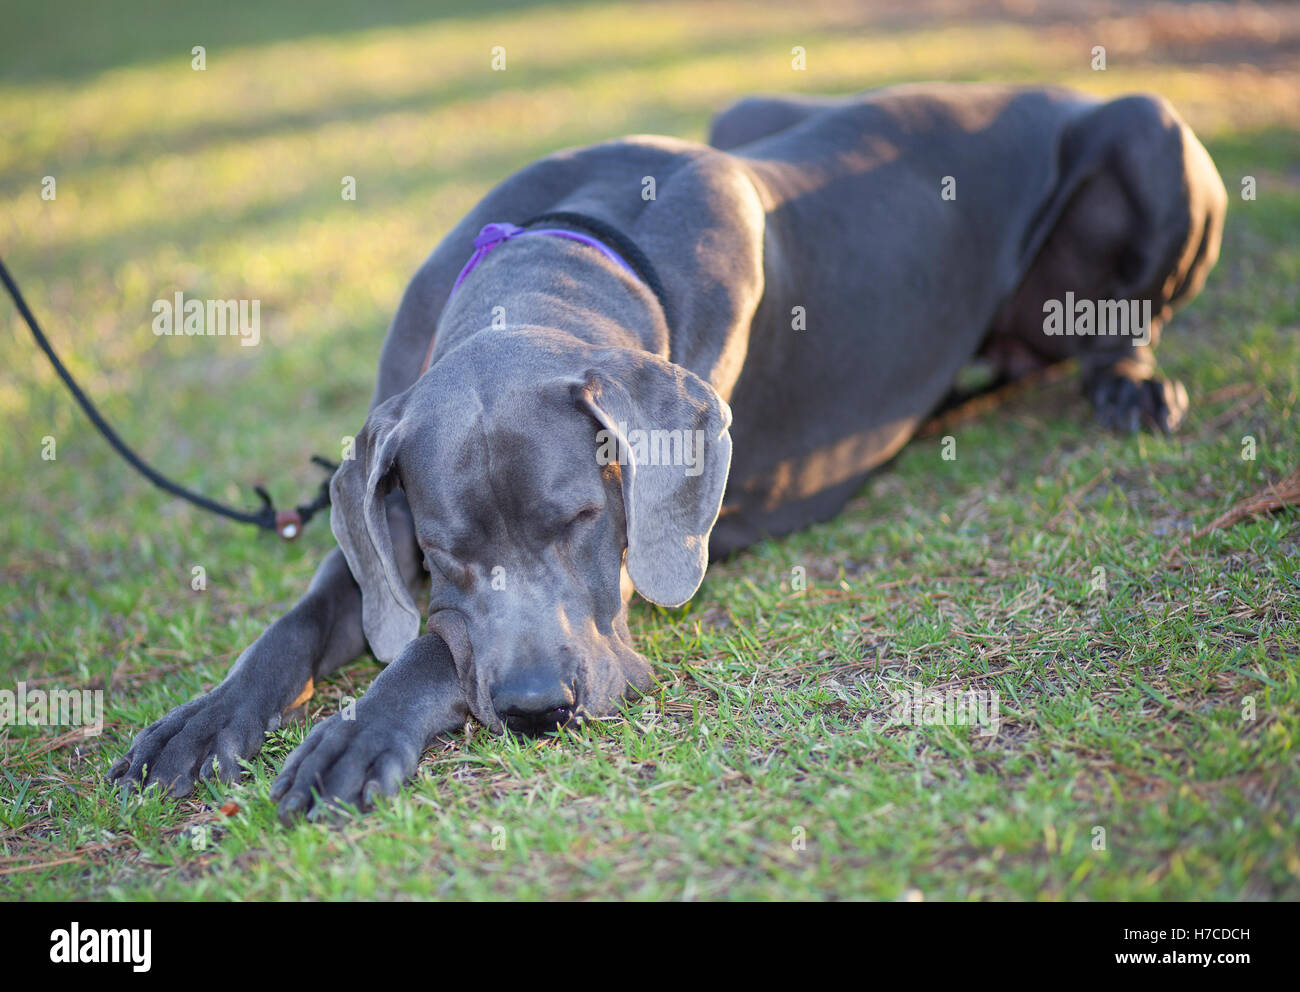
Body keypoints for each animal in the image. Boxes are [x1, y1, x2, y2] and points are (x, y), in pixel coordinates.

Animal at [106, 83, 1222, 821]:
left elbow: (434, 643)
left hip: (1152, 131)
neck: (563, 250)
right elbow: (303, 618)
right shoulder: (380, 520)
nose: (535, 707)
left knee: (1124, 318)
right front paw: (201, 720)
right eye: (446, 553)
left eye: (580, 520)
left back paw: (1127, 379)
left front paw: (357, 730)